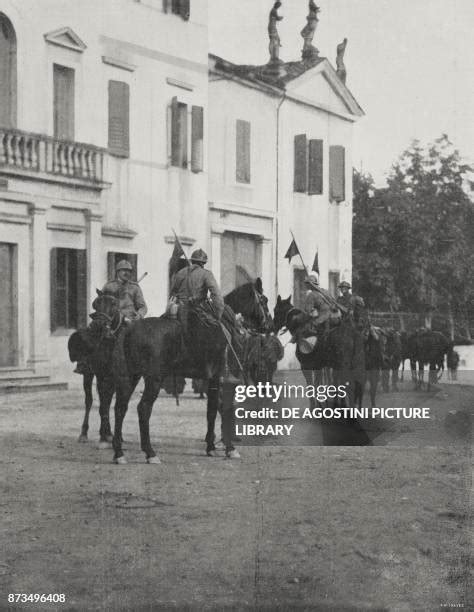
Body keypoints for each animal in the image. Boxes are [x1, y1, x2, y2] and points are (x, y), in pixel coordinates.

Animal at [66, 292, 122, 444]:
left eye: (114, 304)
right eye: (95, 303)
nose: (98, 324)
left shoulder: (113, 378)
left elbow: (107, 403)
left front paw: (108, 434)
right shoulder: (101, 375)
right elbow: (102, 403)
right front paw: (103, 434)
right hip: (89, 374)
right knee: (90, 401)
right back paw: (84, 433)